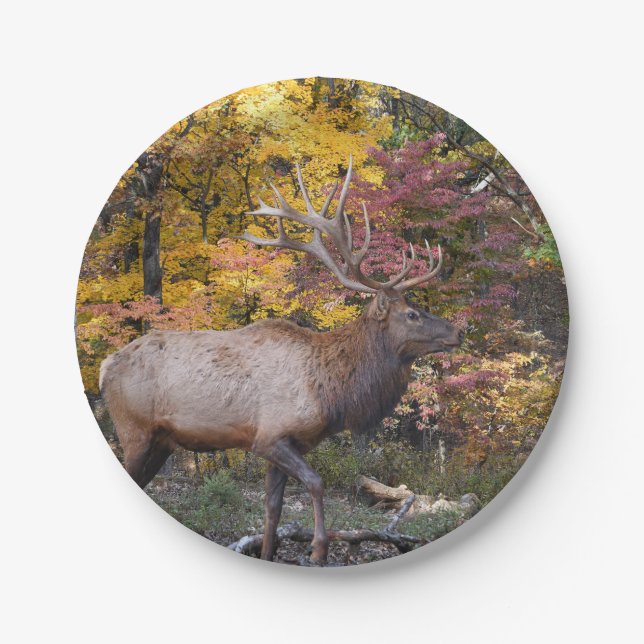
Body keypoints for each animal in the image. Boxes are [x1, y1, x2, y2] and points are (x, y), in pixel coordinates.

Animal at [99, 157, 463, 564]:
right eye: (412, 314)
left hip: (161, 441)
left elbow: (273, 508)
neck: (331, 390)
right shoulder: (271, 436)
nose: (458, 332)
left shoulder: (289, 444)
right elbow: (317, 483)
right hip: (134, 428)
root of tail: (104, 366)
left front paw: (270, 552)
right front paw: (318, 548)